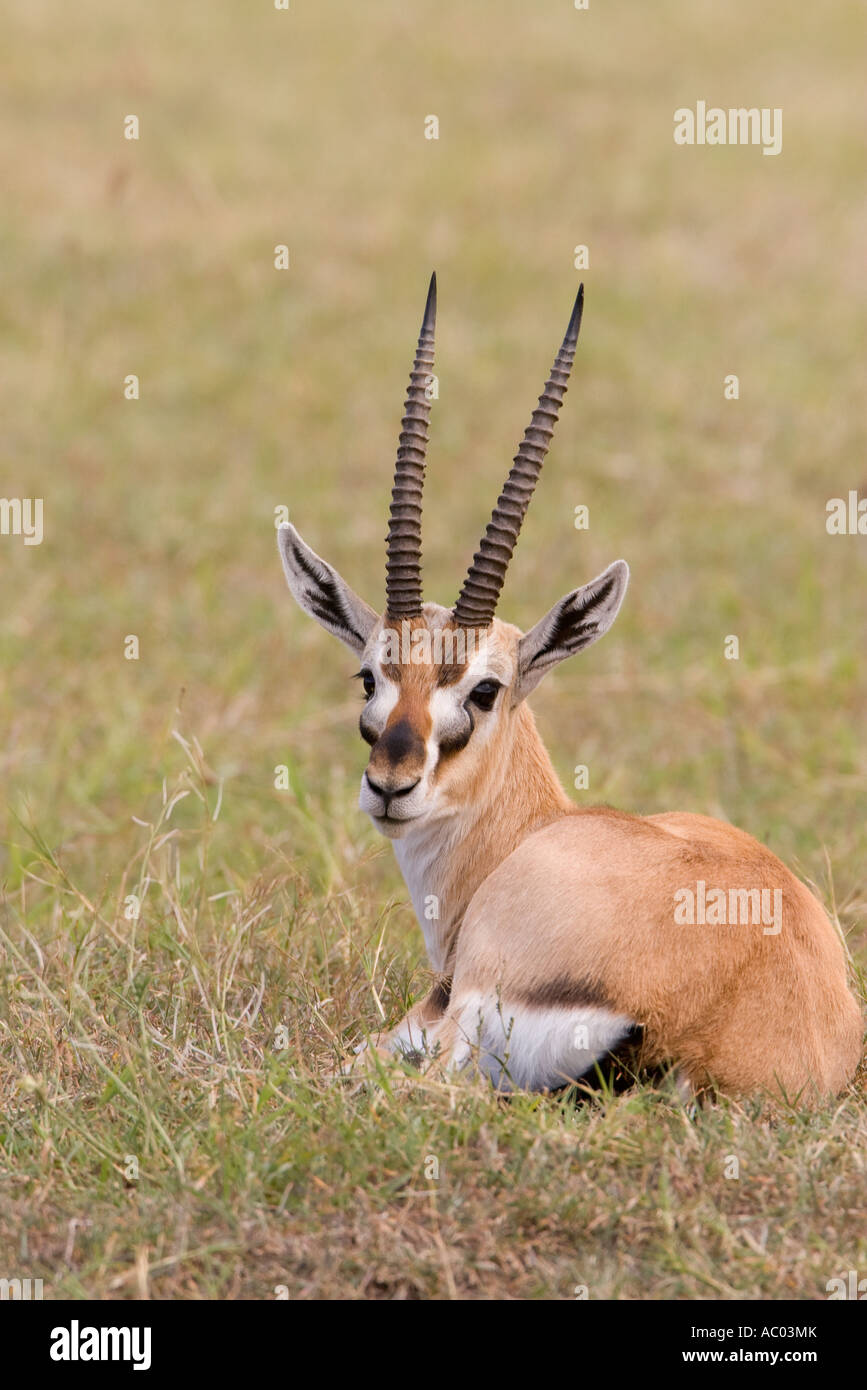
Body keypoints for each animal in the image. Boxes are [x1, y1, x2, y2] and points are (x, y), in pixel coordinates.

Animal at [278, 275, 863, 1103]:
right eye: (370, 674)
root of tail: (701, 1037)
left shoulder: (436, 1003)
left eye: (485, 690)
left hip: (463, 1017)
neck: (534, 829)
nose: (390, 785)